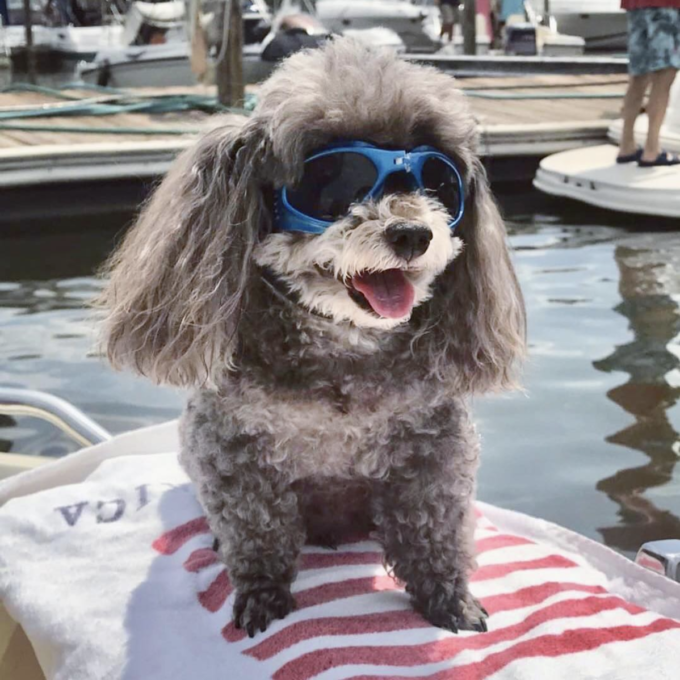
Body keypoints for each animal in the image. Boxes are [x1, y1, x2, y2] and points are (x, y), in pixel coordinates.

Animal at [99, 38, 524, 636]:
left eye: (439, 181)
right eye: (333, 177)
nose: (413, 233)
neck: (342, 347)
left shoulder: (436, 445)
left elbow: (433, 526)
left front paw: (448, 595)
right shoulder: (231, 449)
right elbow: (256, 530)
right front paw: (262, 593)